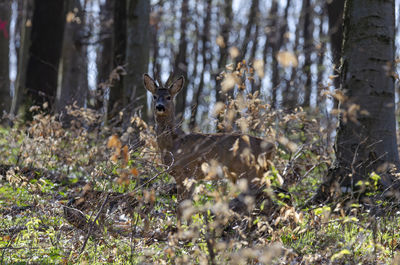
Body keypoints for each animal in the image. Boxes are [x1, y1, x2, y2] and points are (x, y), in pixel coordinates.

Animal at [142, 72, 276, 206]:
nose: (160, 107)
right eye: (154, 96)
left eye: (169, 97)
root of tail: (271, 145)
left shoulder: (188, 172)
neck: (174, 143)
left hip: (251, 170)